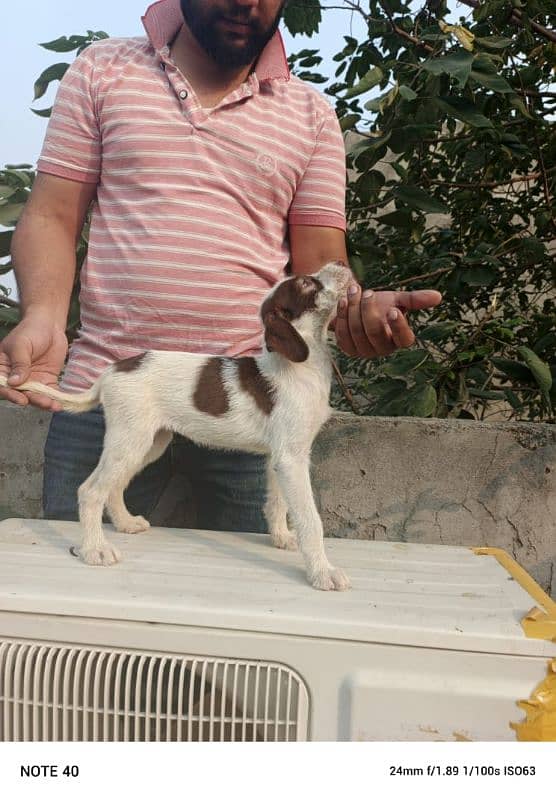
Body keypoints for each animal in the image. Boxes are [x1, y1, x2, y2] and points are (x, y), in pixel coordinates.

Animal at [2, 260, 352, 588]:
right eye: (307, 283)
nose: (342, 263)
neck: (302, 366)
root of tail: (111, 371)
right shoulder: (292, 459)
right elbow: (310, 518)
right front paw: (322, 572)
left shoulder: (280, 455)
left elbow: (277, 502)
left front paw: (282, 538)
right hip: (131, 440)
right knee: (90, 490)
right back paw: (94, 550)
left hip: (149, 443)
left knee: (113, 485)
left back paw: (126, 523)